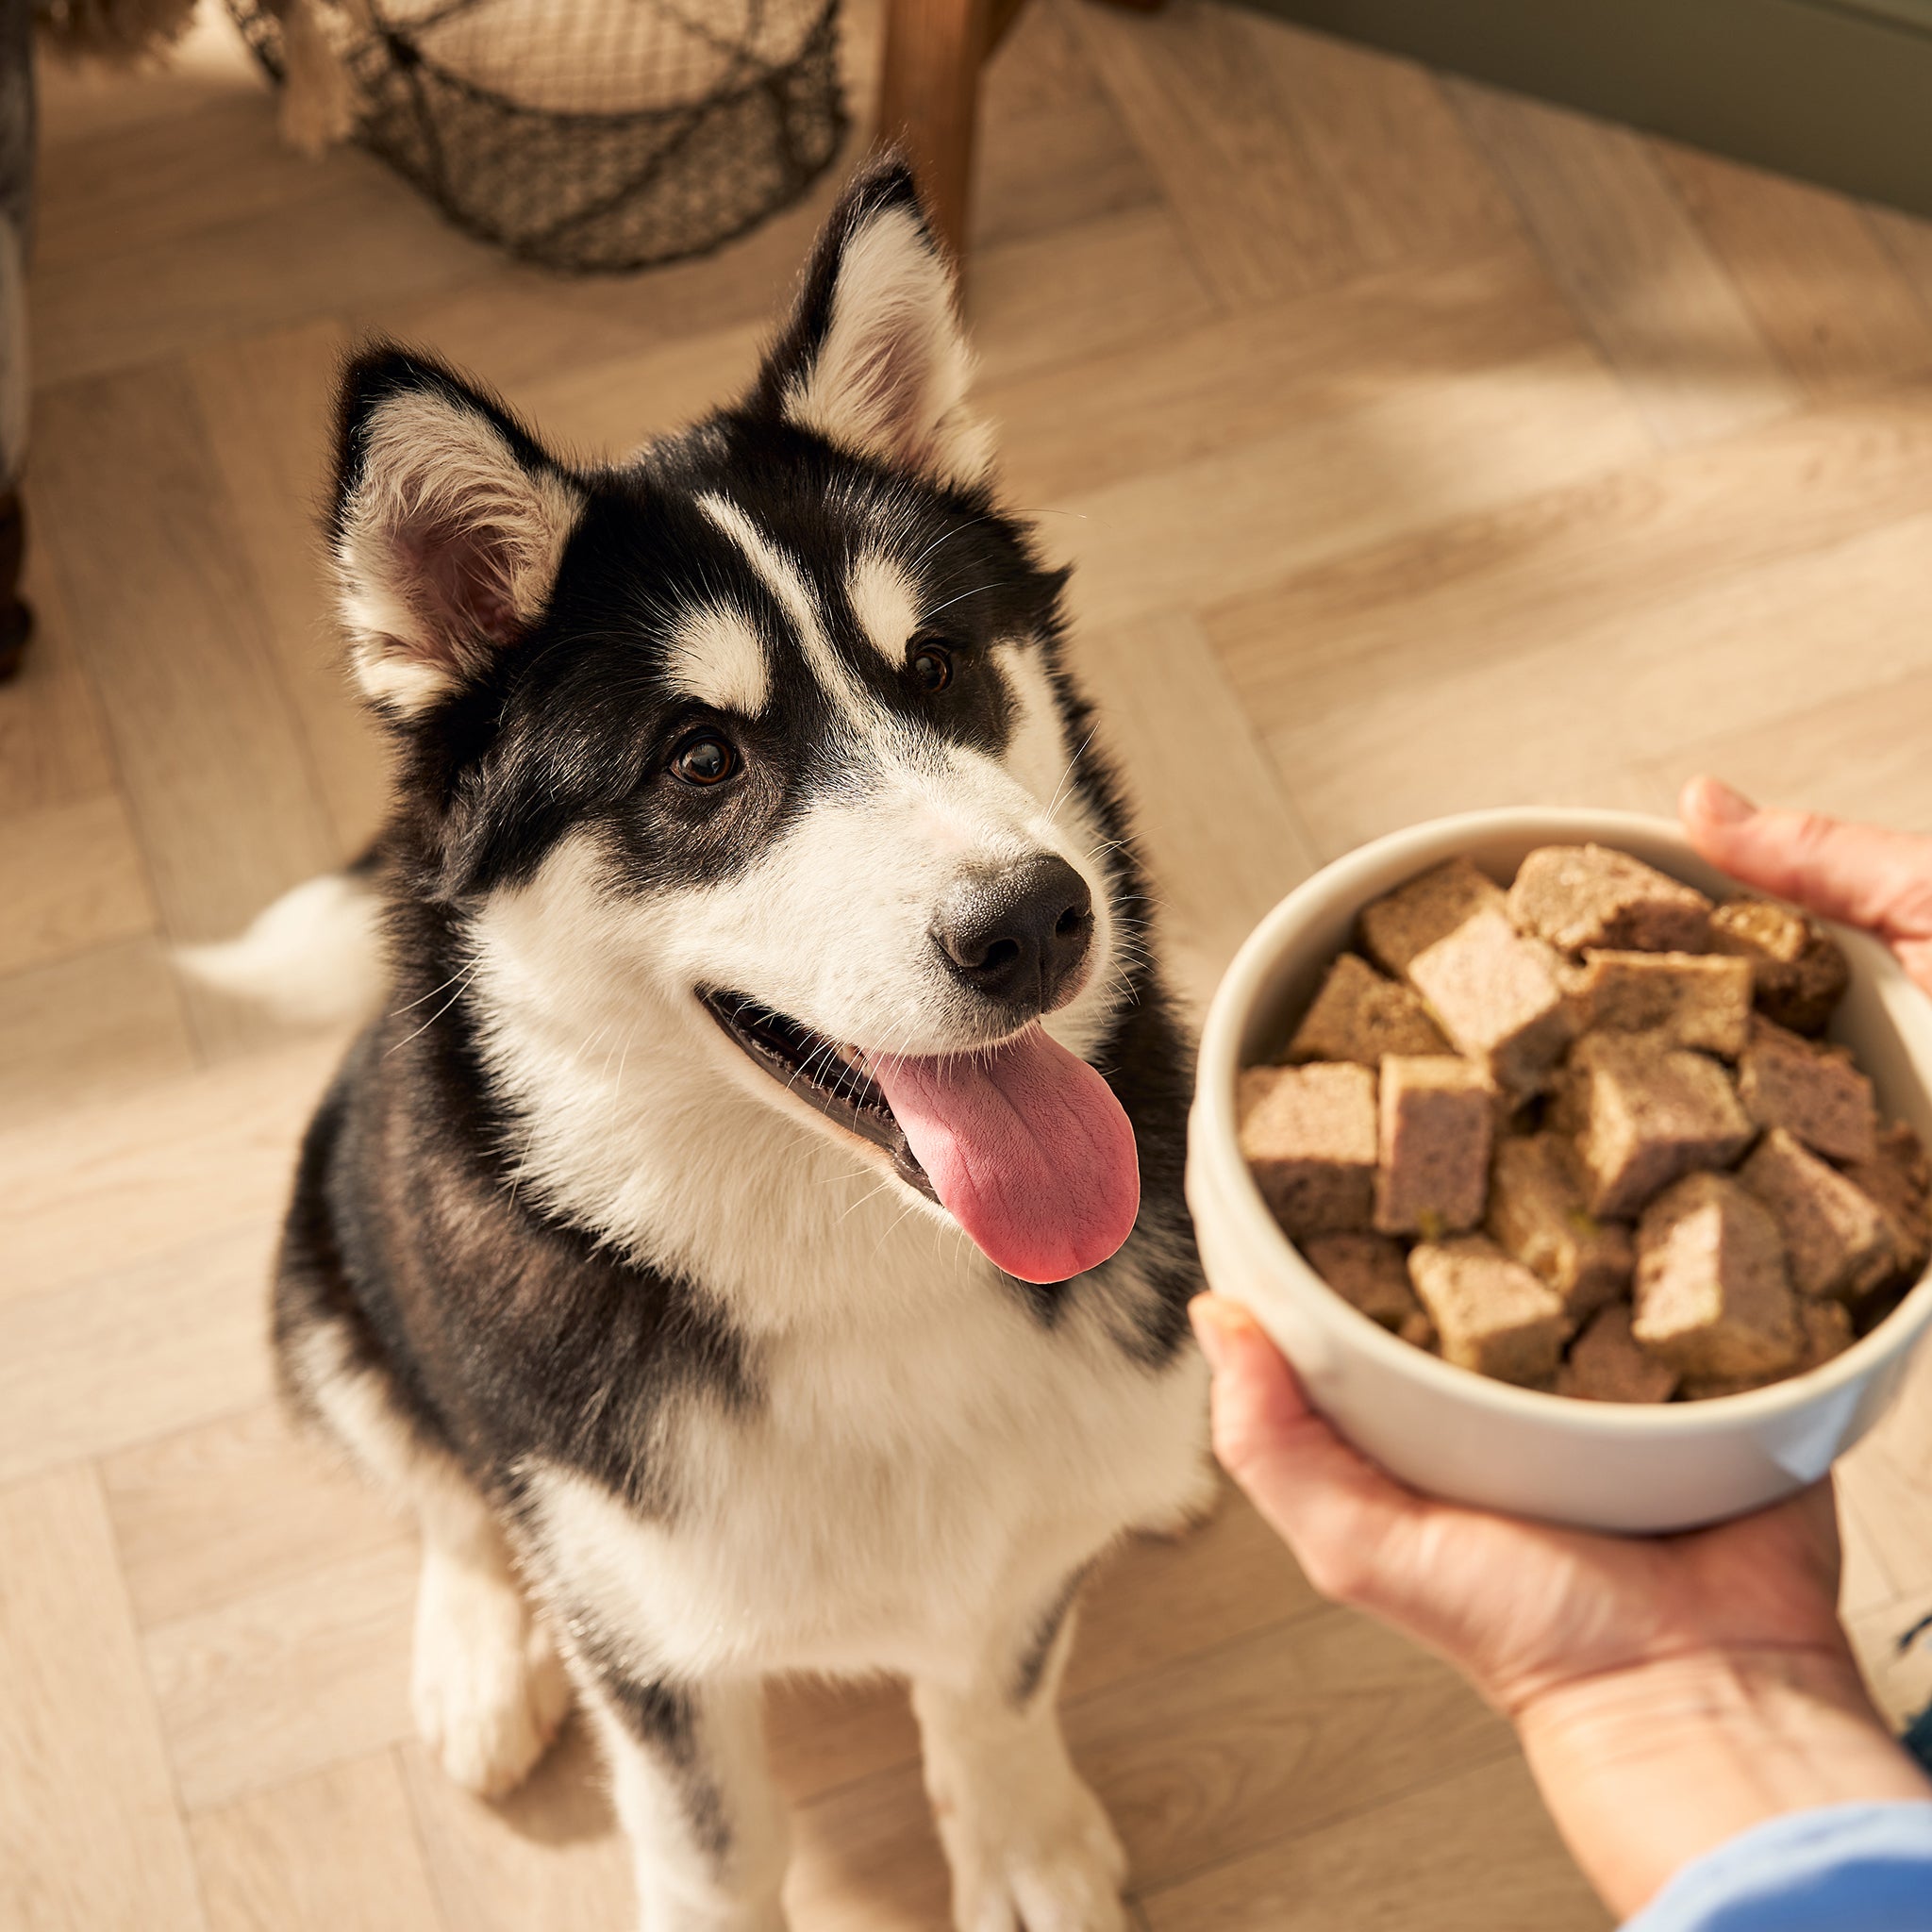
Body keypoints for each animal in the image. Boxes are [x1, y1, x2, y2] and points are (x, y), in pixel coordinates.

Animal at [204, 158, 1213, 1924]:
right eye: (697, 760)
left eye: (937, 664)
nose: (1037, 920)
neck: (858, 1273)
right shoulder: (649, 1637)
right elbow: (711, 1840)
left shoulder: (1016, 1554)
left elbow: (997, 1682)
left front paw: (1019, 1842)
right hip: (329, 1260)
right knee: (437, 1481)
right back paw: (478, 1654)